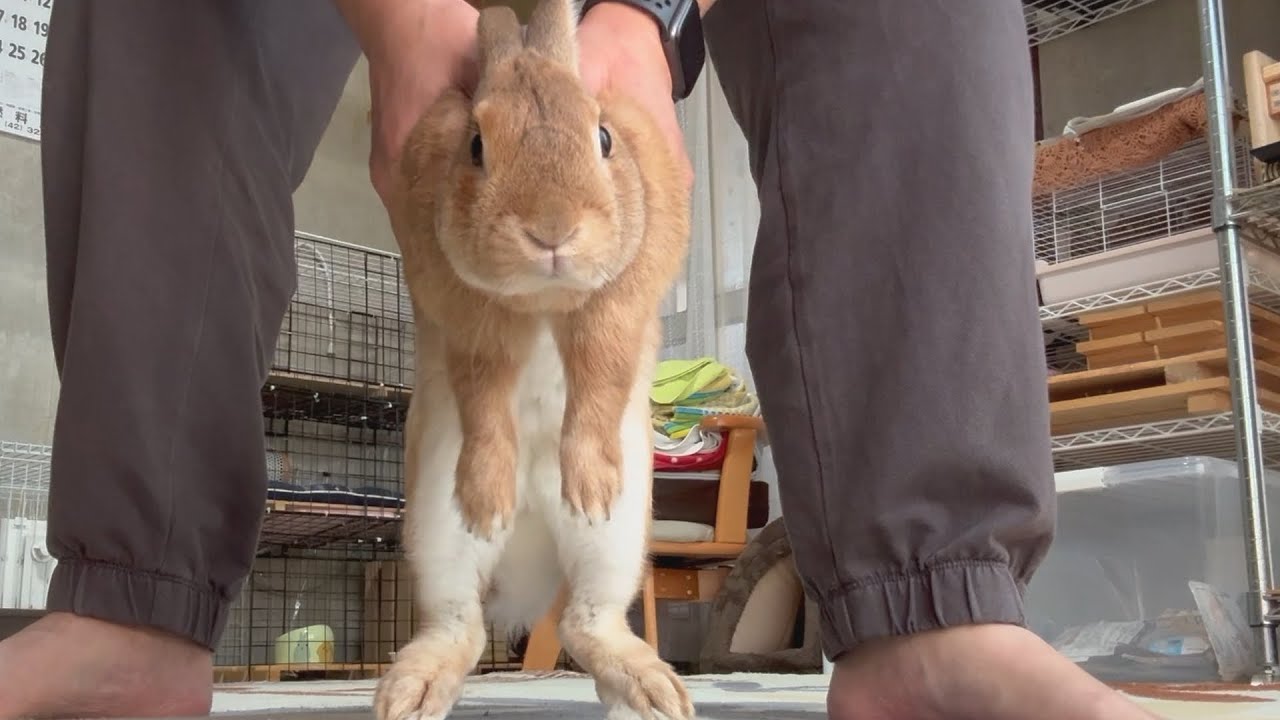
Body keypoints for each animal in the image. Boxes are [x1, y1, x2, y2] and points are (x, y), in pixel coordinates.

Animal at [372, 0, 695, 719]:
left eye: (603, 138)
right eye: (475, 145)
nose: (553, 231)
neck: (544, 298)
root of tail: (528, 567)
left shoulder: (615, 311)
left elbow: (600, 375)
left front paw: (591, 484)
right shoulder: (470, 326)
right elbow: (485, 395)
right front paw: (488, 493)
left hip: (617, 542)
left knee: (587, 621)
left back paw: (652, 691)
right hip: (435, 530)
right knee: (460, 625)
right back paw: (411, 693)